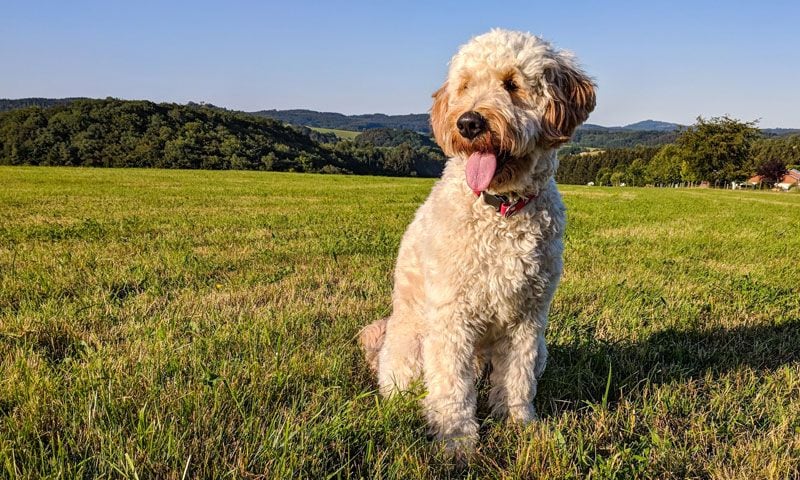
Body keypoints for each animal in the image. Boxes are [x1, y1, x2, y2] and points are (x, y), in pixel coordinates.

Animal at [358, 28, 592, 456]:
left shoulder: (527, 318)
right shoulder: (452, 316)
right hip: (413, 348)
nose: (468, 122)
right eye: (465, 85)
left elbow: (517, 379)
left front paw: (519, 425)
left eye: (512, 84)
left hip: (542, 349)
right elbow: (451, 386)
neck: (501, 210)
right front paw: (456, 441)